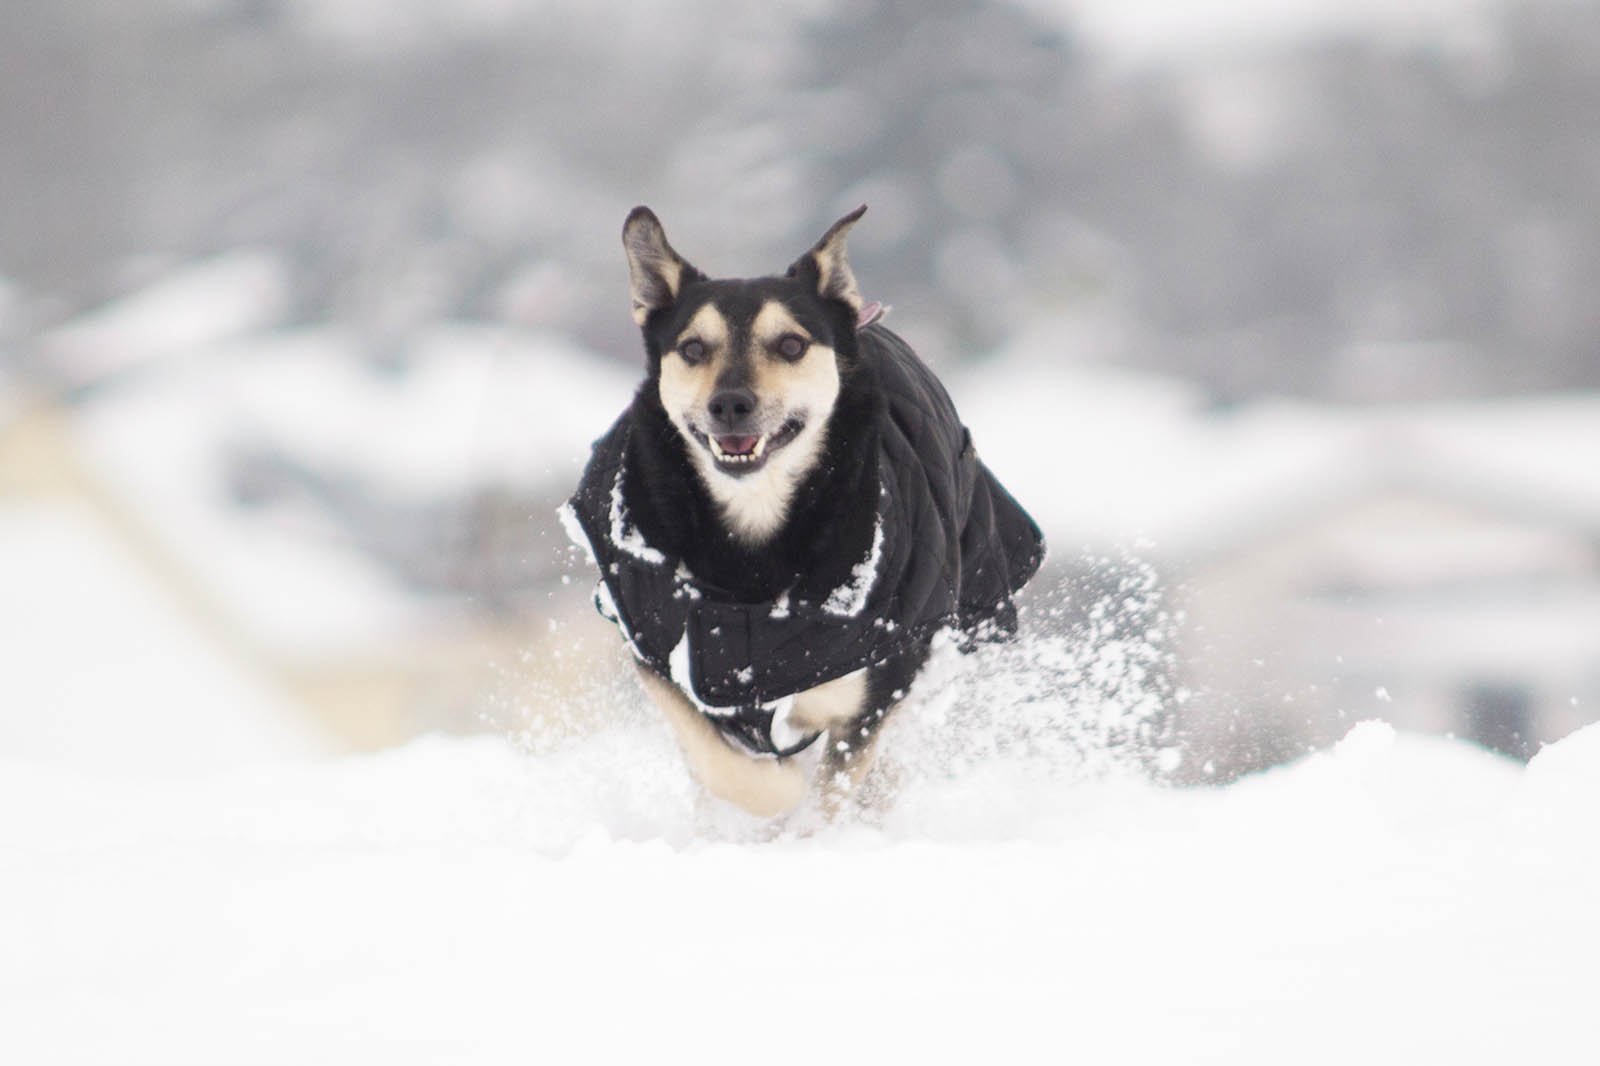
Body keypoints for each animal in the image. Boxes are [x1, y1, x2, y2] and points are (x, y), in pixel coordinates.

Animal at [566, 208, 1049, 816]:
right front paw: (771, 800)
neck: (755, 533)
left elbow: (828, 788)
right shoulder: (656, 650)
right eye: (694, 348)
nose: (729, 404)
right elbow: (729, 765)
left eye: (791, 345)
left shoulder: (881, 679)